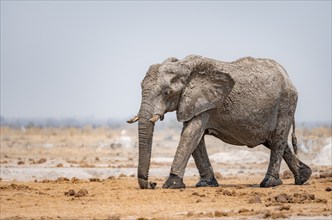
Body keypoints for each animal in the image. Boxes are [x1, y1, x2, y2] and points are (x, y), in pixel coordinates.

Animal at [127, 54, 312, 189]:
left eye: (166, 92)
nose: (152, 183)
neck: (184, 66)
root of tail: (287, 75)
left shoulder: (206, 101)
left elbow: (191, 133)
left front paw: (171, 185)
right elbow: (196, 138)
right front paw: (206, 184)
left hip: (286, 103)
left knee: (278, 138)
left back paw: (269, 183)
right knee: (272, 140)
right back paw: (303, 177)